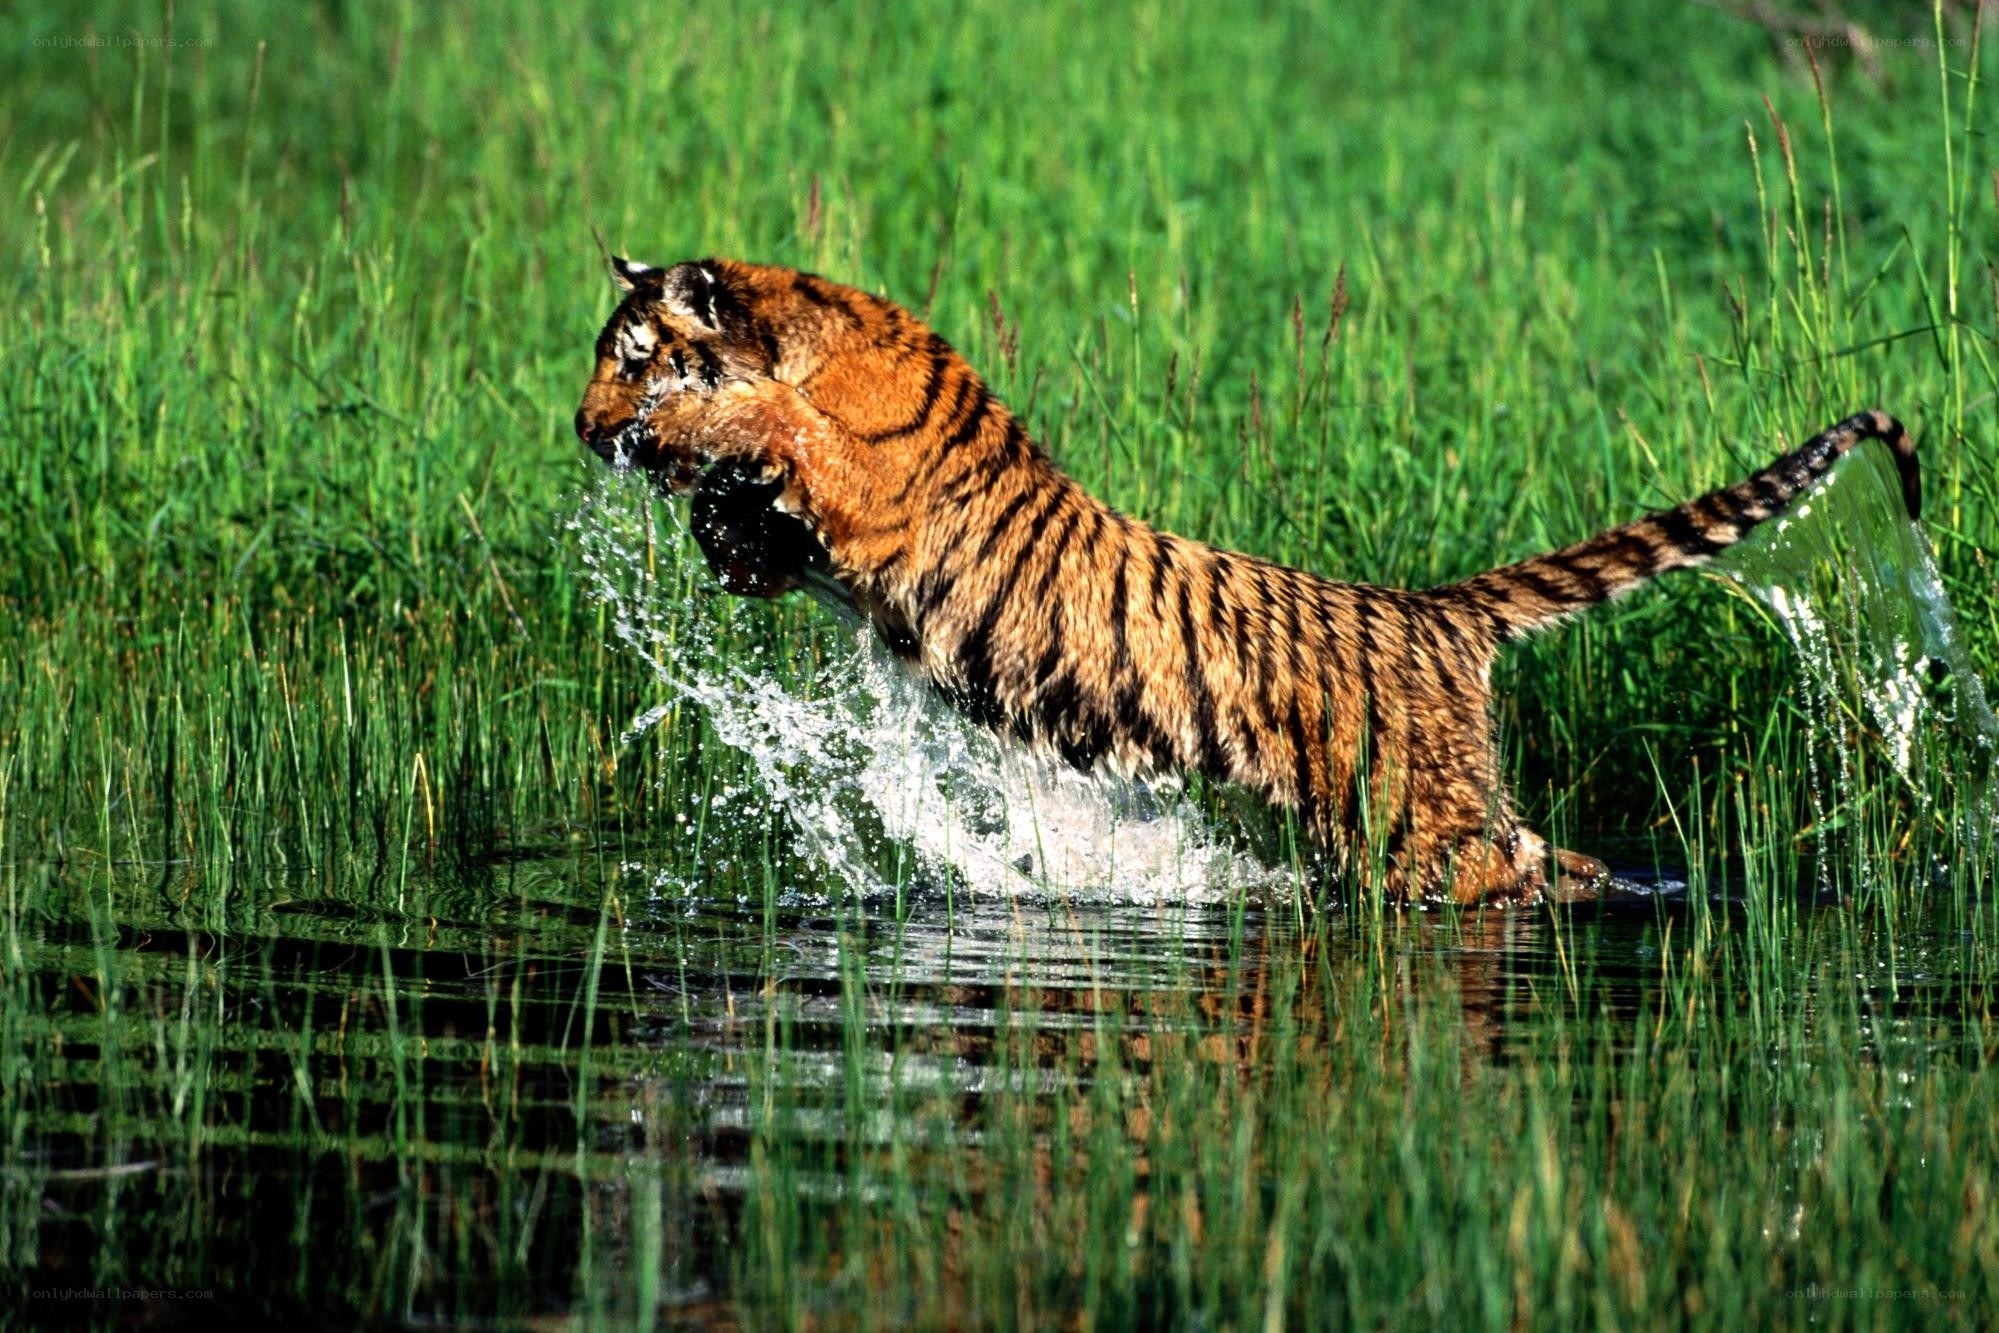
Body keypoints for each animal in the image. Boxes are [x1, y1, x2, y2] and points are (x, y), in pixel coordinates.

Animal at [574, 256, 1920, 904]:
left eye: (628, 359)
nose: (585, 432)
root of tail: (1435, 612)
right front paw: (716, 516)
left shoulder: (874, 493)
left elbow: (777, 422)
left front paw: (692, 430)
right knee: (1551, 851)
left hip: (1418, 826)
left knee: (1512, 868)